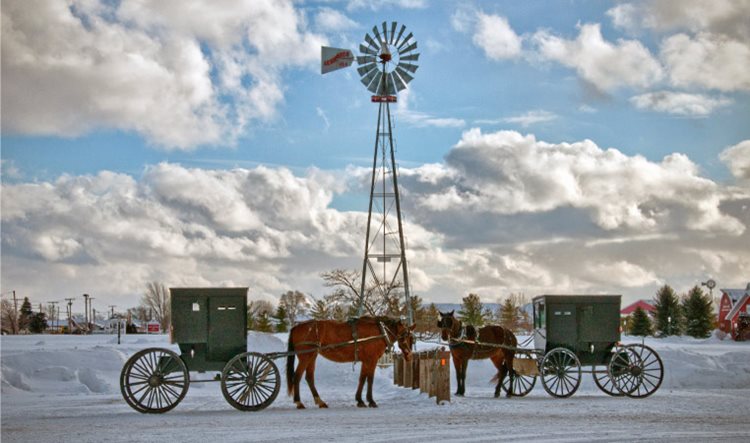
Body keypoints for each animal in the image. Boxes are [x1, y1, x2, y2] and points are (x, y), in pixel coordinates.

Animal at [290, 320, 418, 410]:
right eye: (403, 335)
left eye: (412, 338)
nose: (409, 355)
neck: (380, 332)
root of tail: (297, 327)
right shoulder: (371, 360)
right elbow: (370, 379)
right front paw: (371, 401)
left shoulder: (366, 361)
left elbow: (362, 378)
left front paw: (360, 400)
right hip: (306, 356)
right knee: (297, 376)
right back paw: (299, 402)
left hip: (312, 356)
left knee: (309, 378)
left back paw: (320, 402)